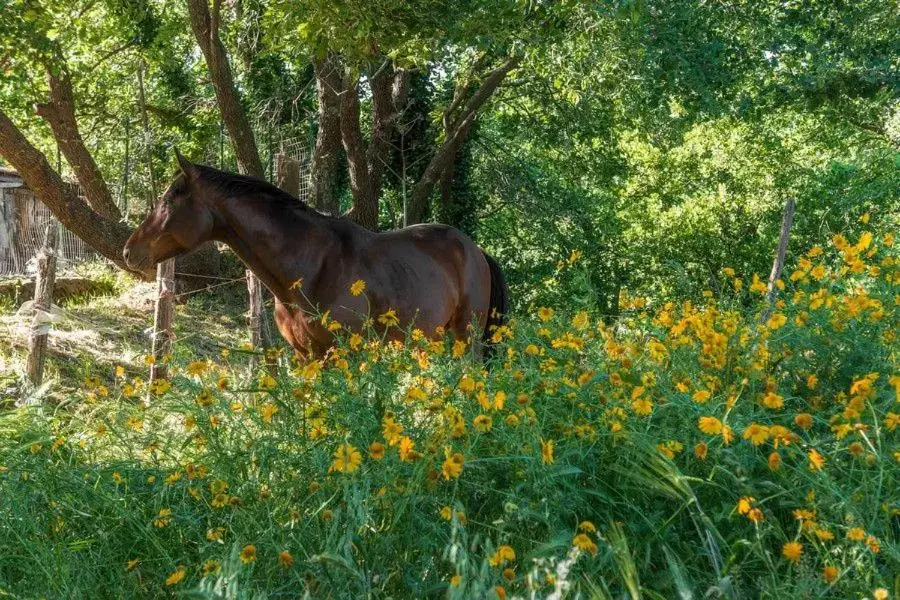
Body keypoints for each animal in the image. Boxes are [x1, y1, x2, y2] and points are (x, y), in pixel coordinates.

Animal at [123, 152, 510, 358]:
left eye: (171, 198)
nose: (130, 251)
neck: (310, 267)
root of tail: (475, 251)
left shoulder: (342, 353)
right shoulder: (304, 355)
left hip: (466, 338)